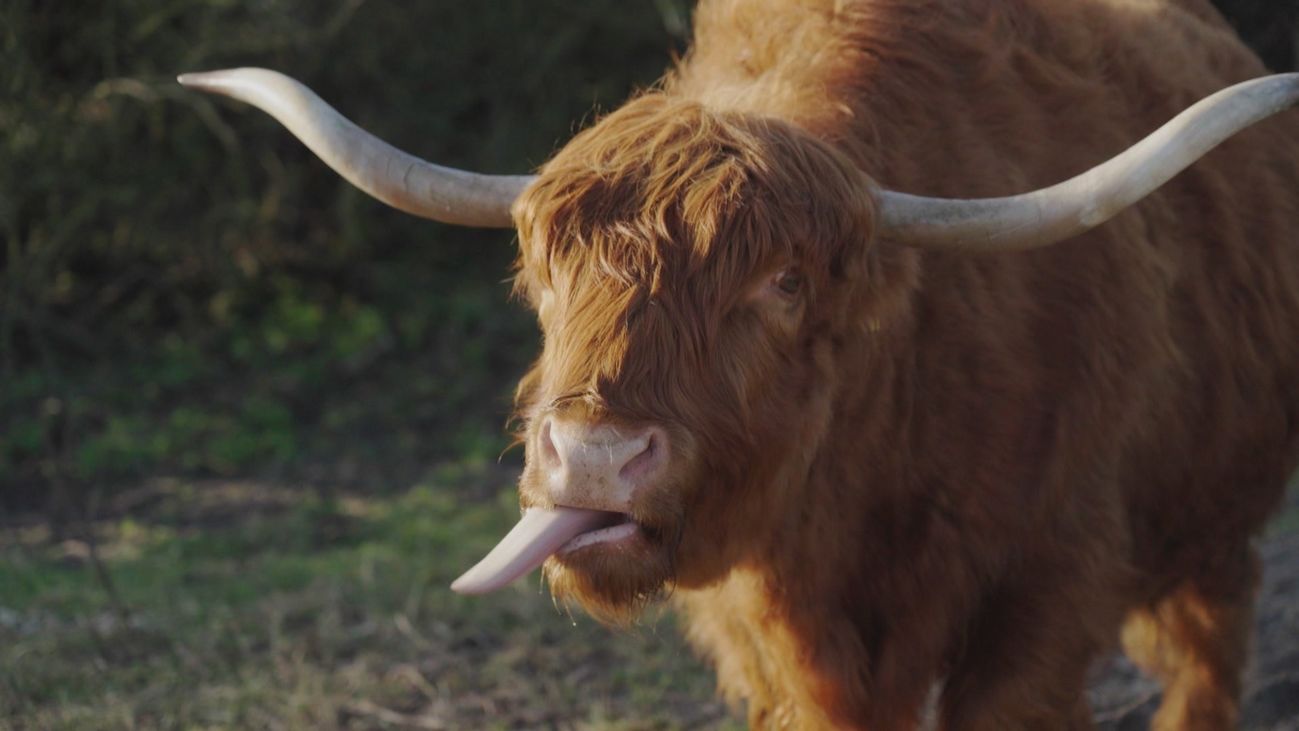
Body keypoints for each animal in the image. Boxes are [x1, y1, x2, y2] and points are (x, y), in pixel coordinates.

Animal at [180, 0, 1299, 728]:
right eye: (544, 270)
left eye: (785, 282)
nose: (594, 456)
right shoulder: (770, 639)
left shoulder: (1043, 594)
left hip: (1211, 525)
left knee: (1208, 653)